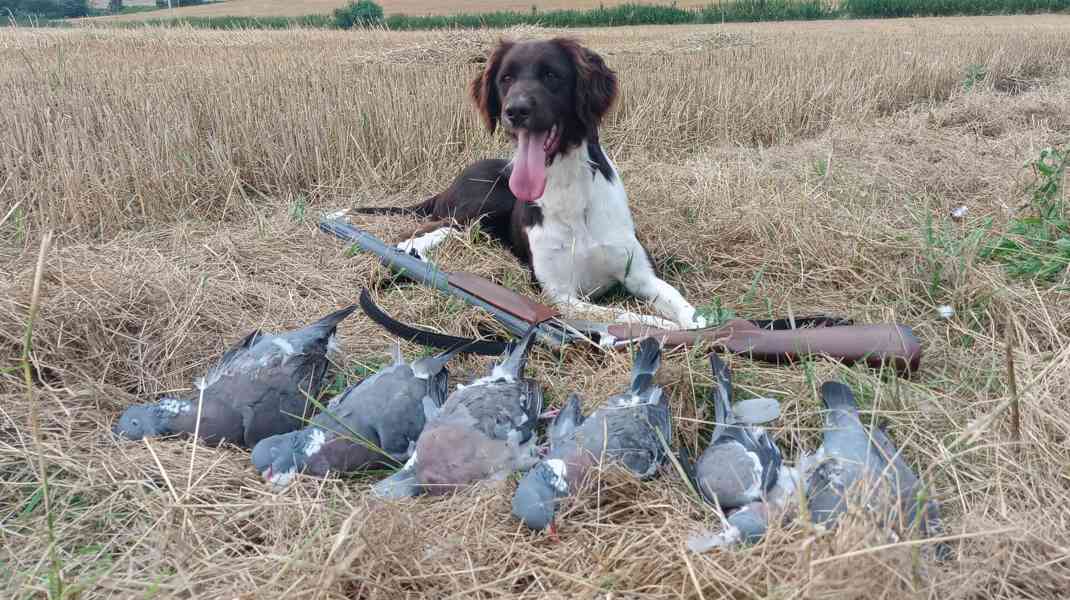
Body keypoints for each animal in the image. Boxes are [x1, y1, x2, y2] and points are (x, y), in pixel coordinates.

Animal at [355, 36, 706, 331]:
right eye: (506, 79)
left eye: (551, 75)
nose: (515, 111)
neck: (567, 185)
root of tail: (450, 185)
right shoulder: (559, 294)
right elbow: (622, 315)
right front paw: (659, 328)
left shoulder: (640, 274)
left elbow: (686, 309)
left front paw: (697, 328)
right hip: (481, 203)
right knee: (417, 233)